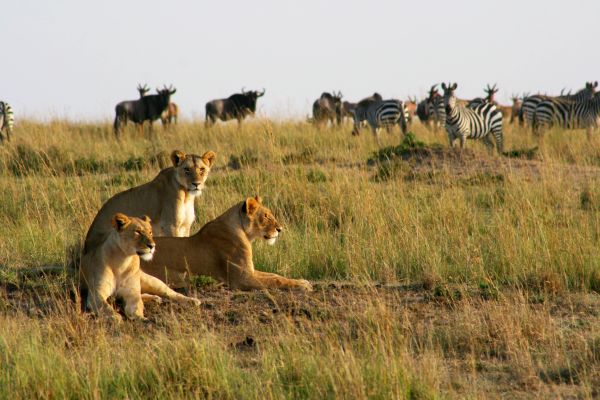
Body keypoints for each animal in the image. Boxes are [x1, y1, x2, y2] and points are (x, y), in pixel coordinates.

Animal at [83, 150, 216, 253]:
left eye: (202, 169)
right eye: (187, 169)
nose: (196, 184)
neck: (187, 195)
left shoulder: (185, 226)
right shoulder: (171, 226)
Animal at [142, 196, 312, 290]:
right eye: (266, 216)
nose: (280, 229)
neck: (244, 232)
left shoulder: (250, 270)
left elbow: (274, 275)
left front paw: (302, 281)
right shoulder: (242, 278)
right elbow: (275, 280)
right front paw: (302, 286)